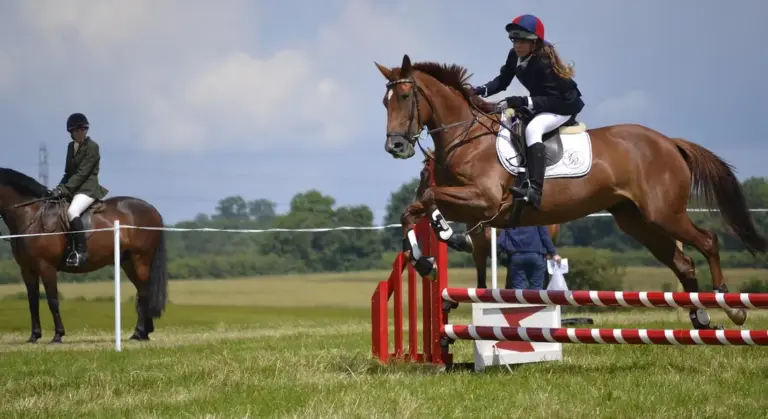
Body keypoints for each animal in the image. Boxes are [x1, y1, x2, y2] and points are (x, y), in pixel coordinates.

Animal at [0, 168, 168, 343]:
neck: (32, 216)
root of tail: (152, 209)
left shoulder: (46, 266)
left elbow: (52, 300)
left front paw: (58, 335)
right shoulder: (27, 269)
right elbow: (32, 301)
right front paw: (34, 336)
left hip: (140, 259)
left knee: (144, 293)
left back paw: (138, 333)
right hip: (128, 262)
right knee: (142, 291)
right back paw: (145, 333)